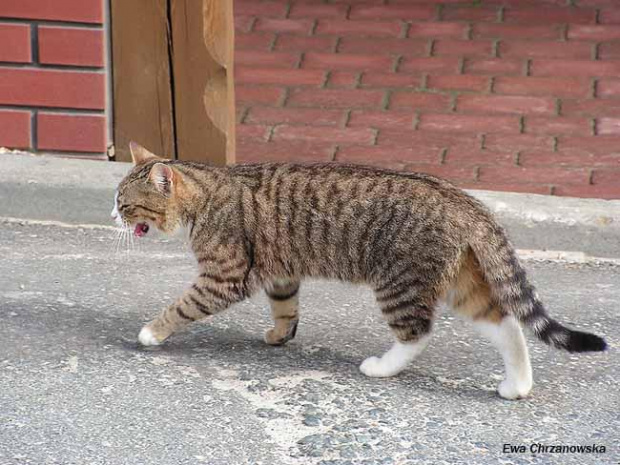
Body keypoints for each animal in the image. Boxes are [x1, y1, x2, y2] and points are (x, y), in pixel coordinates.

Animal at [111, 142, 604, 398]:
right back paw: (517, 385)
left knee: (417, 333)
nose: (112, 215)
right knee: (506, 322)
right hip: (463, 283)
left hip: (398, 283)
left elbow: (181, 306)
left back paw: (382, 367)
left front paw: (151, 332)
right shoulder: (281, 273)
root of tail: (463, 199)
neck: (208, 193)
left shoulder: (224, 277)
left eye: (125, 204)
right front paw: (280, 335)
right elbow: (285, 308)